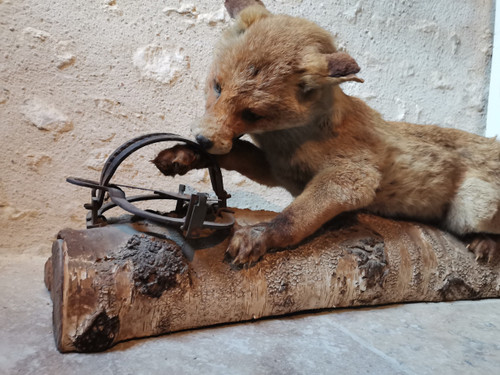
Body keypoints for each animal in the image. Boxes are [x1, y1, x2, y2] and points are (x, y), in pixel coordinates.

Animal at [153, 0, 500, 266]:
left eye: (252, 114)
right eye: (217, 87)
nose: (202, 138)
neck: (290, 142)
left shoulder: (351, 178)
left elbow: (294, 218)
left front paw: (259, 236)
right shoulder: (277, 170)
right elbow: (235, 152)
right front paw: (182, 155)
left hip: (474, 207)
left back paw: (486, 243)